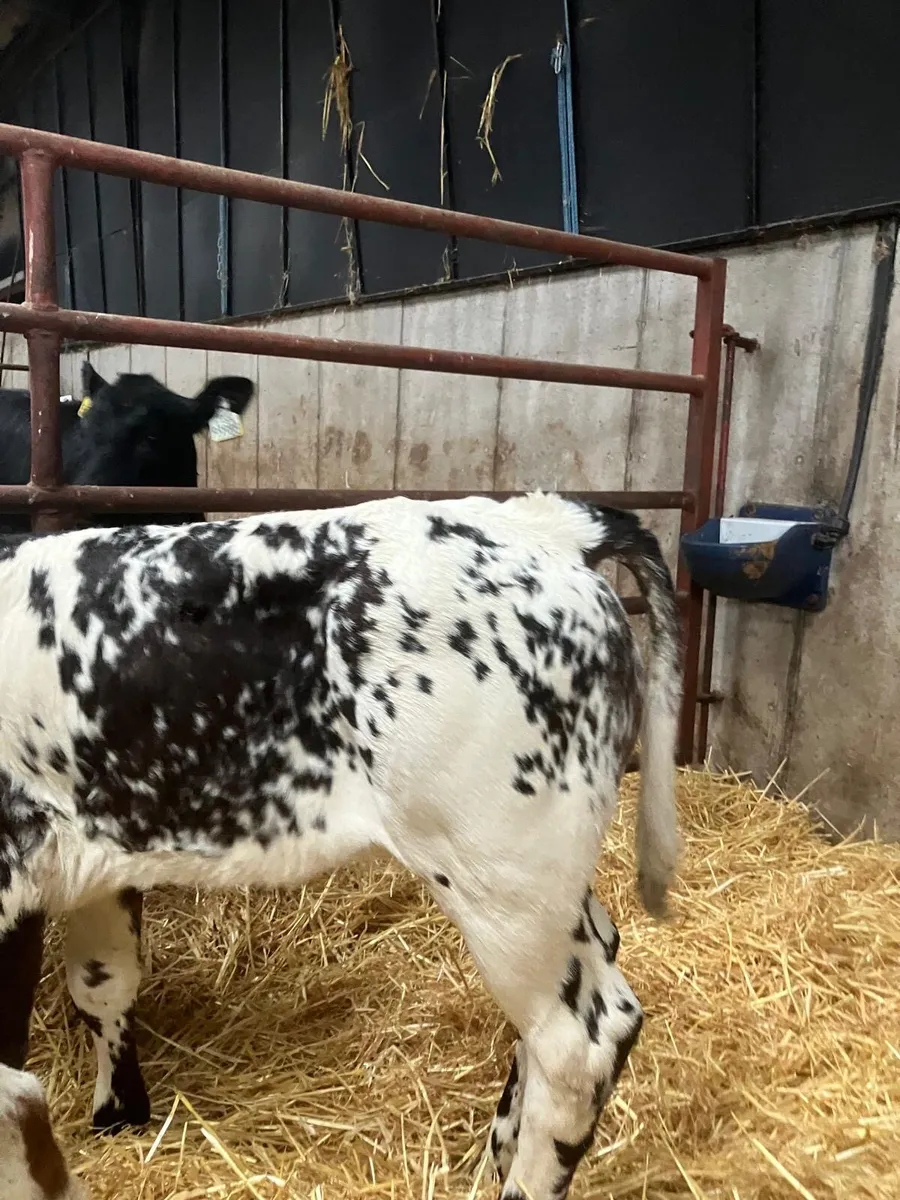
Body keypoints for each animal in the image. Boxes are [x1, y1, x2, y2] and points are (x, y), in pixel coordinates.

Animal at [0, 492, 682, 1200]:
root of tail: (545, 522)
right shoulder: (92, 860)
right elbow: (101, 982)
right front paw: (118, 1115)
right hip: (546, 883)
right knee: (594, 967)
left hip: (502, 878)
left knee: (577, 1045)